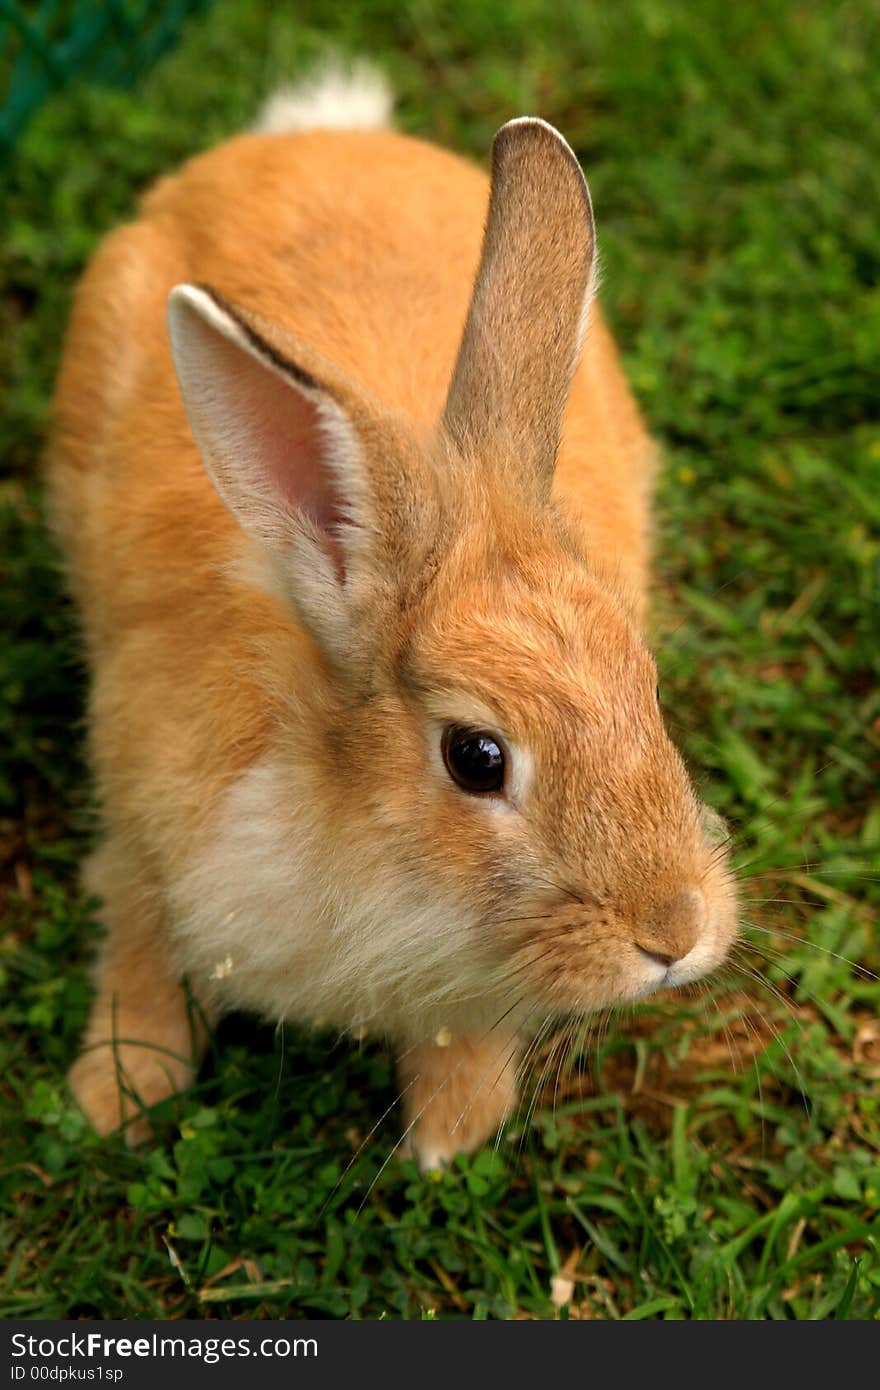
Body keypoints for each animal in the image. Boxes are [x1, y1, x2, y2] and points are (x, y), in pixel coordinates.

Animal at [47, 67, 734, 1173]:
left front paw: (450, 1134)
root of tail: (325, 131)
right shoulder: (145, 841)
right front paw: (116, 1096)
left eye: (649, 689)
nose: (674, 934)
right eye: (476, 758)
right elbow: (140, 957)